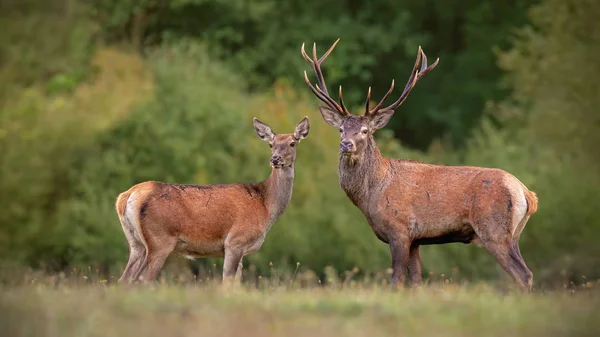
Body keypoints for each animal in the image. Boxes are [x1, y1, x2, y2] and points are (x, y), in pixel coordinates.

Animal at [115, 117, 312, 282]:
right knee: (140, 280)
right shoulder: (235, 241)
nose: (275, 159)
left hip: (136, 243)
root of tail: (126, 197)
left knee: (124, 280)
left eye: (292, 143)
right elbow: (227, 282)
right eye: (271, 144)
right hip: (160, 240)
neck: (265, 205)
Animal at [302, 39, 536, 290]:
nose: (346, 144)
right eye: (341, 129)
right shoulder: (416, 240)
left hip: (494, 230)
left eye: (365, 131)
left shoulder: (400, 230)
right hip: (515, 234)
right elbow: (416, 281)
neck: (372, 194)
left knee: (523, 274)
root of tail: (526, 193)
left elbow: (396, 279)